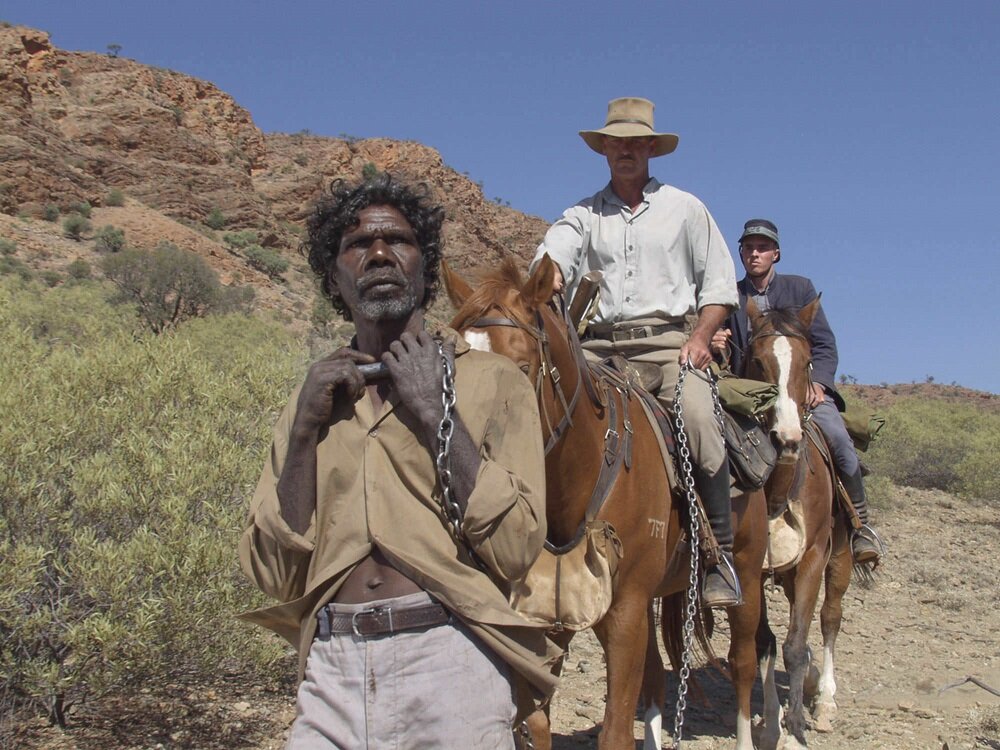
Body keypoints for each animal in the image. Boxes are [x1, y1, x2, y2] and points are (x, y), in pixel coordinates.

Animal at [450, 258, 768, 750]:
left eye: (521, 368)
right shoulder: (546, 614)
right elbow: (536, 724)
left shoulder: (625, 612)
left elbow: (616, 730)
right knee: (656, 679)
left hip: (749, 579)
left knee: (744, 663)